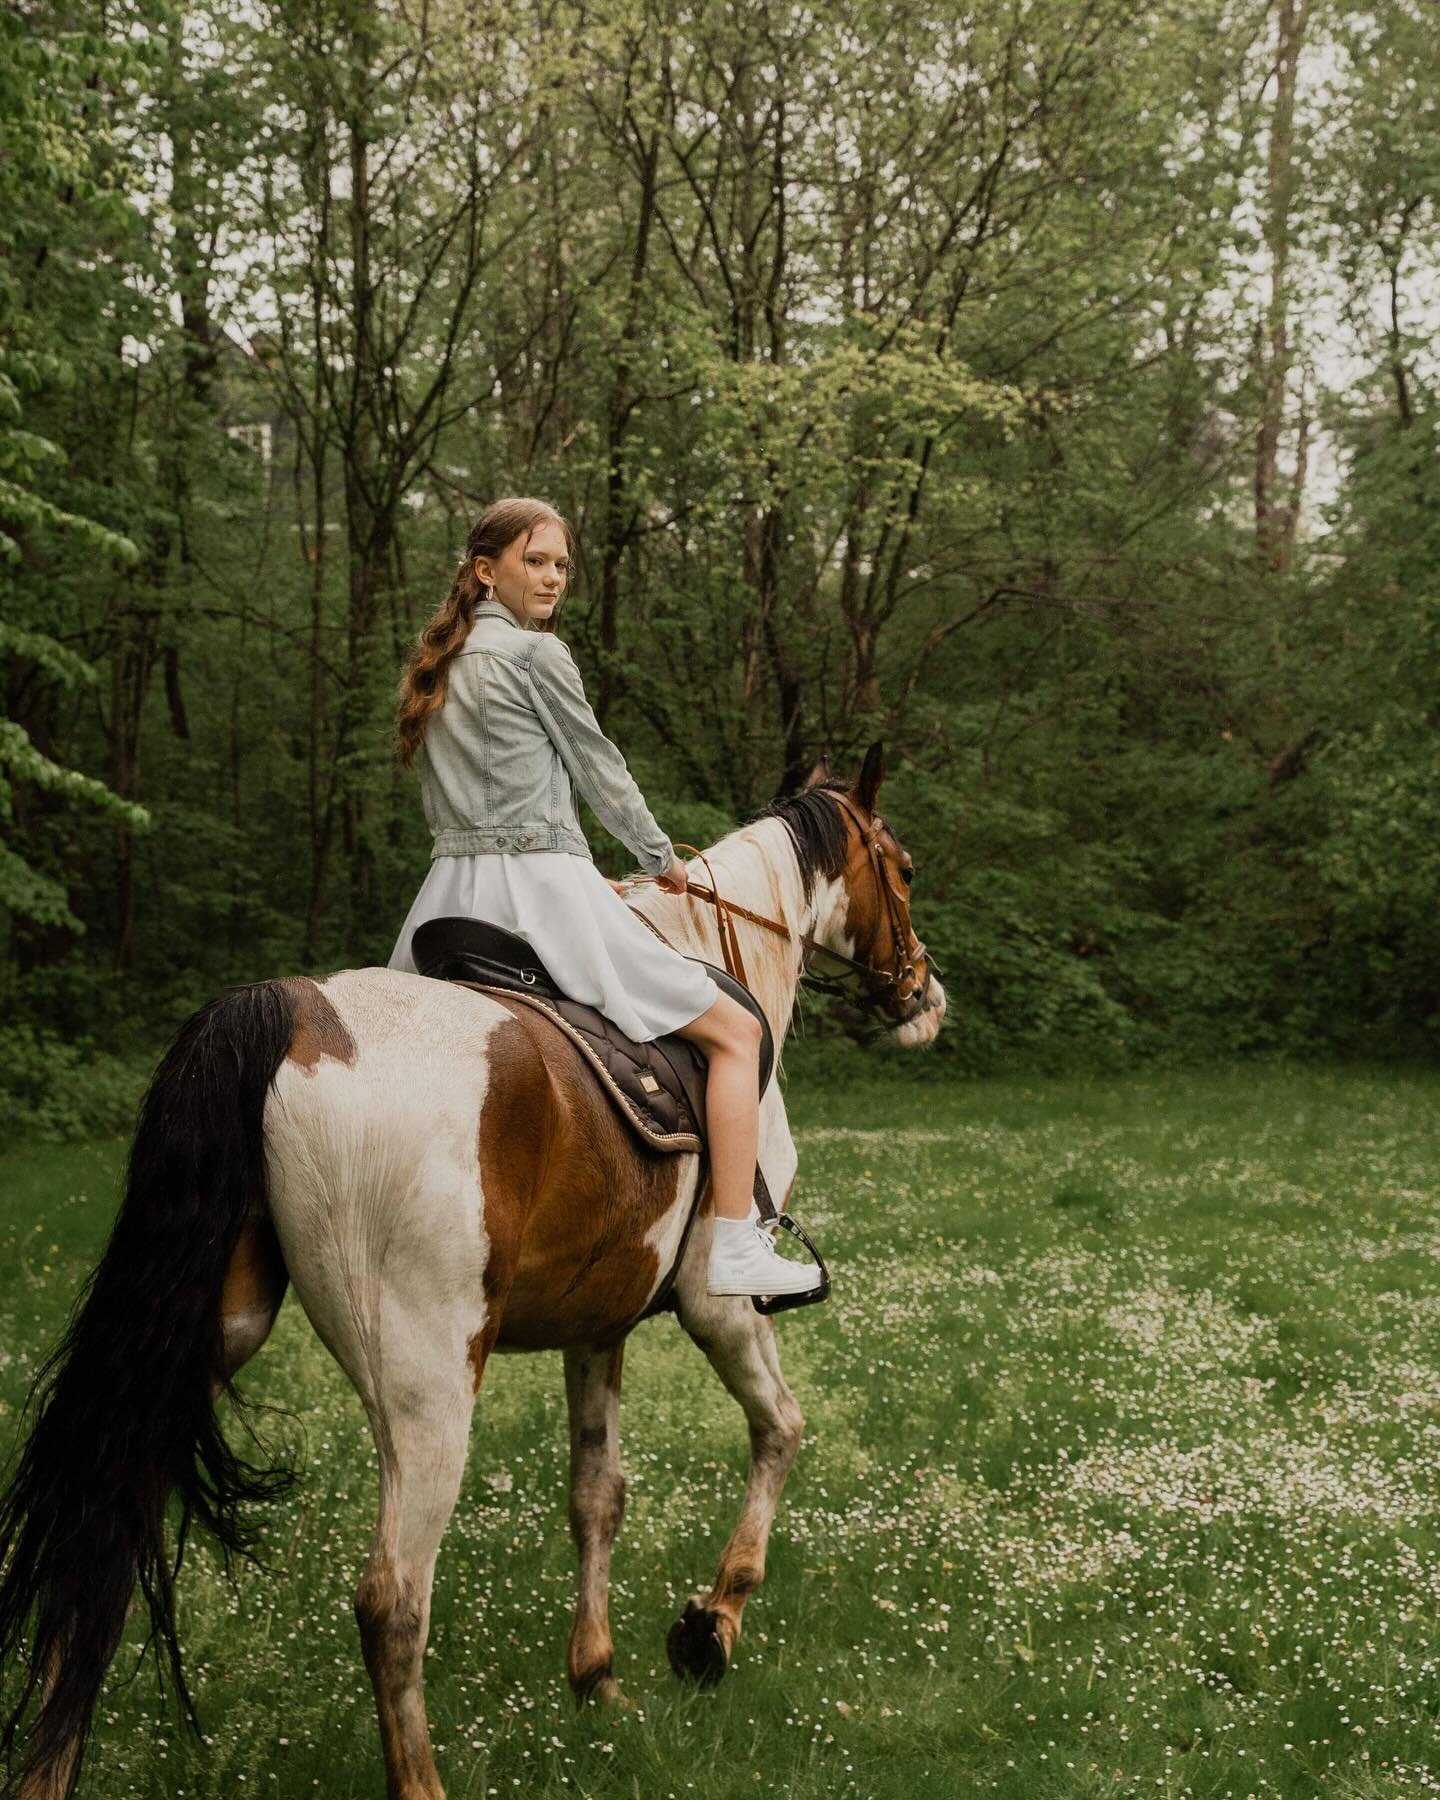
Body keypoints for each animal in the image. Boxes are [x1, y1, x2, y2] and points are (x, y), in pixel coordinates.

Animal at [0, 738, 943, 1792]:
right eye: (903, 868)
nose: (924, 995)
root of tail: (286, 1011)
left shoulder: (597, 1323)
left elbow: (597, 1495)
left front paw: (596, 1676)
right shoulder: (721, 1303)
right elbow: (781, 1428)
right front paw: (713, 1624)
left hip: (208, 1341)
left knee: (103, 1531)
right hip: (428, 1384)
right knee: (392, 1597)